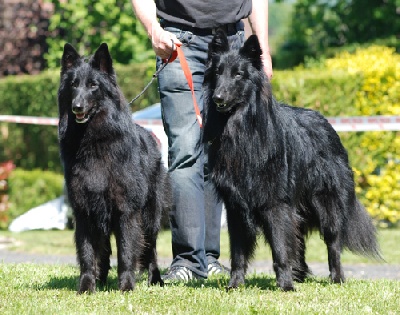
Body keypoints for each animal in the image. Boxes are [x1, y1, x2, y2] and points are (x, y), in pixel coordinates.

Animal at [57, 42, 170, 294]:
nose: (76, 106)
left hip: (150, 216)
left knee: (150, 249)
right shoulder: (84, 211)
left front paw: (126, 287)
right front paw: (86, 287)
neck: (93, 141)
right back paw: (101, 280)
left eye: (93, 85)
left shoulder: (126, 211)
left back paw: (155, 279)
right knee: (105, 252)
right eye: (73, 85)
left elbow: (127, 252)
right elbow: (88, 255)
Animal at [203, 30, 382, 292]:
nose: (218, 98)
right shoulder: (235, 207)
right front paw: (235, 284)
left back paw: (335, 278)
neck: (242, 130)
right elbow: (238, 254)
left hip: (327, 205)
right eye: (218, 72)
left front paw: (285, 285)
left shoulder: (274, 203)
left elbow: (280, 248)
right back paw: (300, 274)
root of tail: (326, 123)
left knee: (333, 244)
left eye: (238, 74)